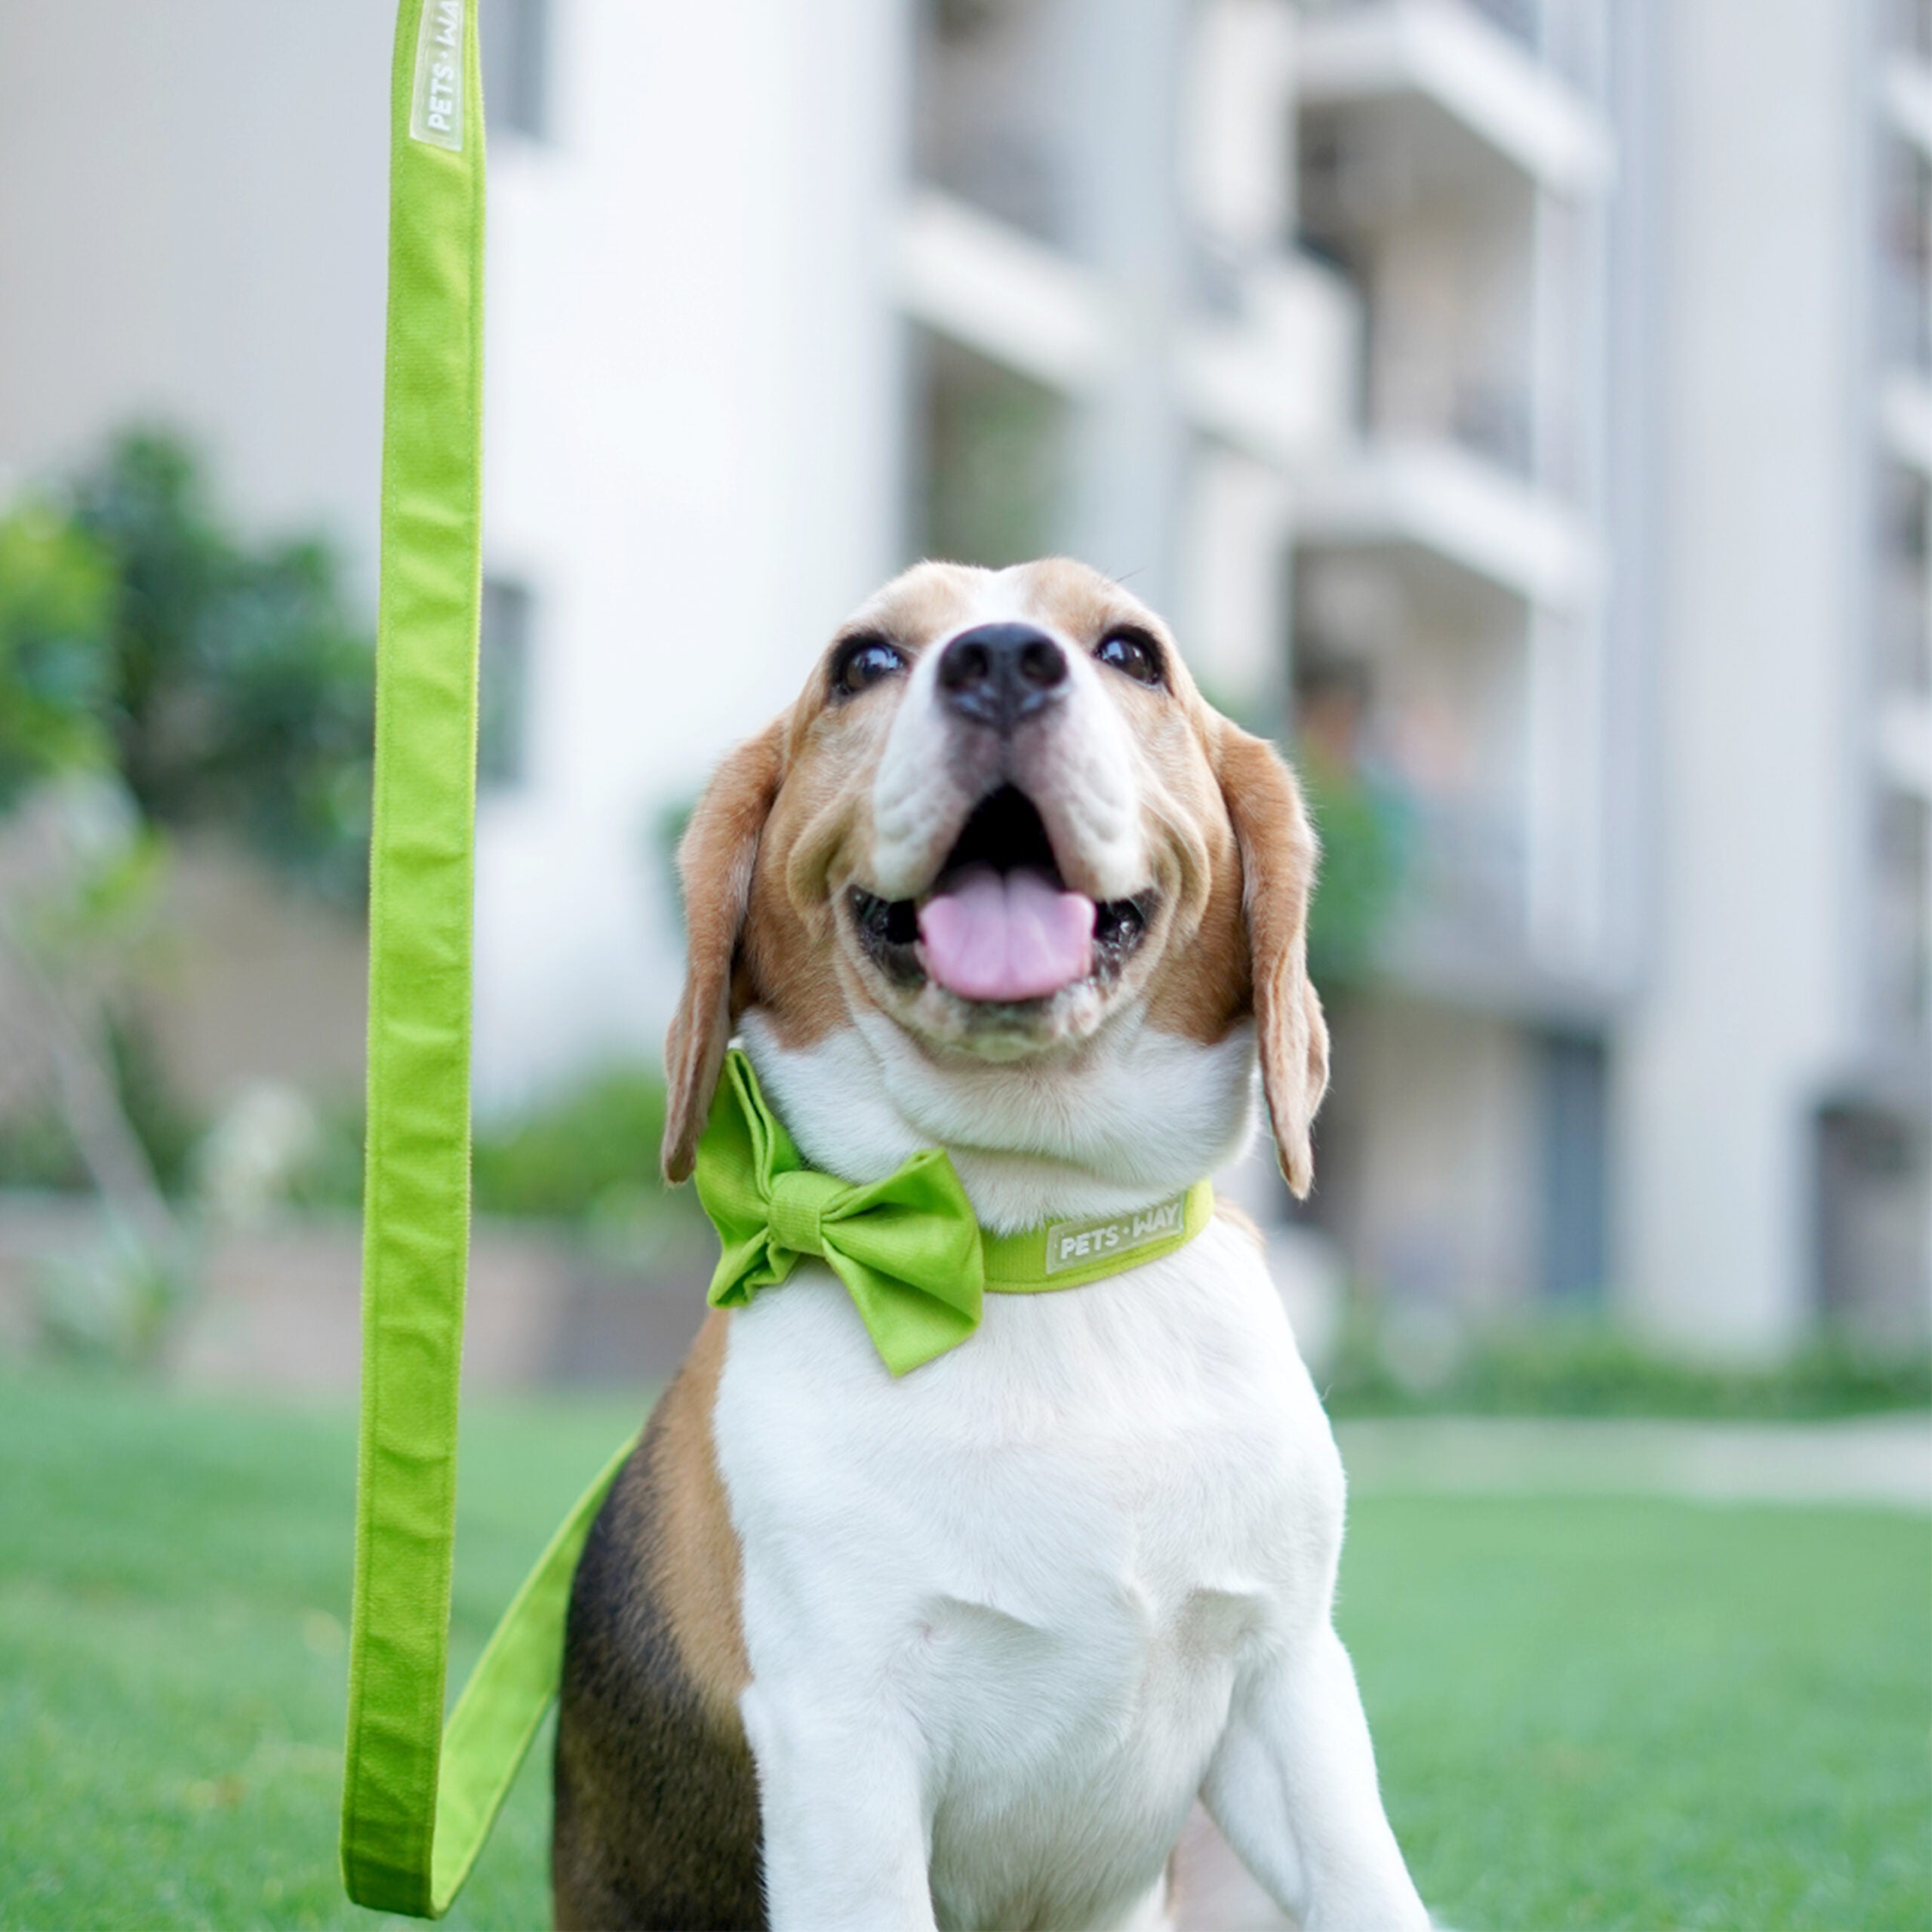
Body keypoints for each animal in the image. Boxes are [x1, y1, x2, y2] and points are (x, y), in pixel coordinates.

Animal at [552, 560, 1429, 1932]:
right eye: (863, 662)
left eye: (1130, 651)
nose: (1005, 661)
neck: (1034, 1253)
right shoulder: (842, 1749)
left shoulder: (1290, 1682)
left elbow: (1367, 1884)